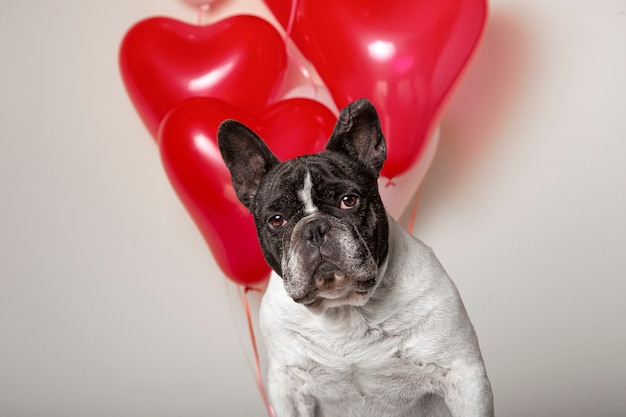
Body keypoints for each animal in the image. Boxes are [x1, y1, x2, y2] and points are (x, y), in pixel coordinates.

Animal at [217, 98, 490, 416]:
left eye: (348, 201)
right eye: (277, 220)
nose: (314, 227)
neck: (345, 309)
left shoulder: (462, 374)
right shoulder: (288, 387)